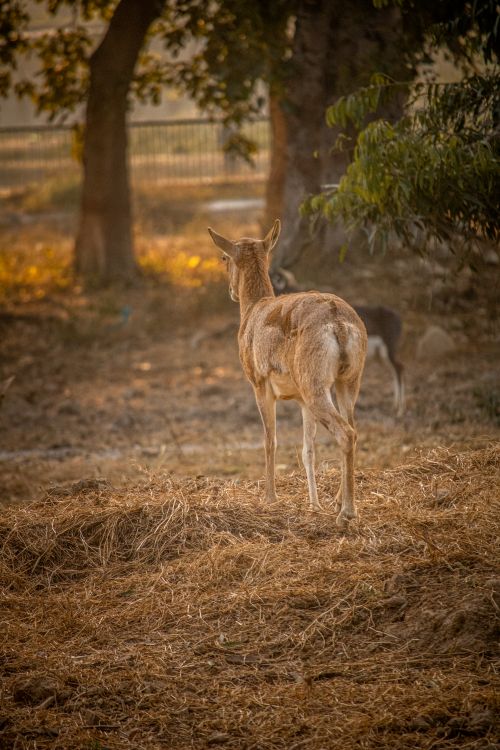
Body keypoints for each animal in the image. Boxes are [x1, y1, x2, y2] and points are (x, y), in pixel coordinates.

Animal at [208, 220, 367, 528]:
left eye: (223, 257)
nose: (230, 290)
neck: (252, 310)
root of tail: (339, 323)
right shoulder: (300, 399)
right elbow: (308, 450)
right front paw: (313, 504)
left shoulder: (259, 384)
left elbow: (270, 439)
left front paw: (270, 498)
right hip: (347, 381)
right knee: (353, 427)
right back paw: (338, 501)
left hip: (315, 384)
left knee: (345, 433)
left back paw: (347, 511)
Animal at [271, 268, 405, 416]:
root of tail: (398, 317)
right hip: (381, 355)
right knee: (394, 370)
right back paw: (394, 407)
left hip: (389, 350)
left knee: (399, 368)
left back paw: (399, 410)